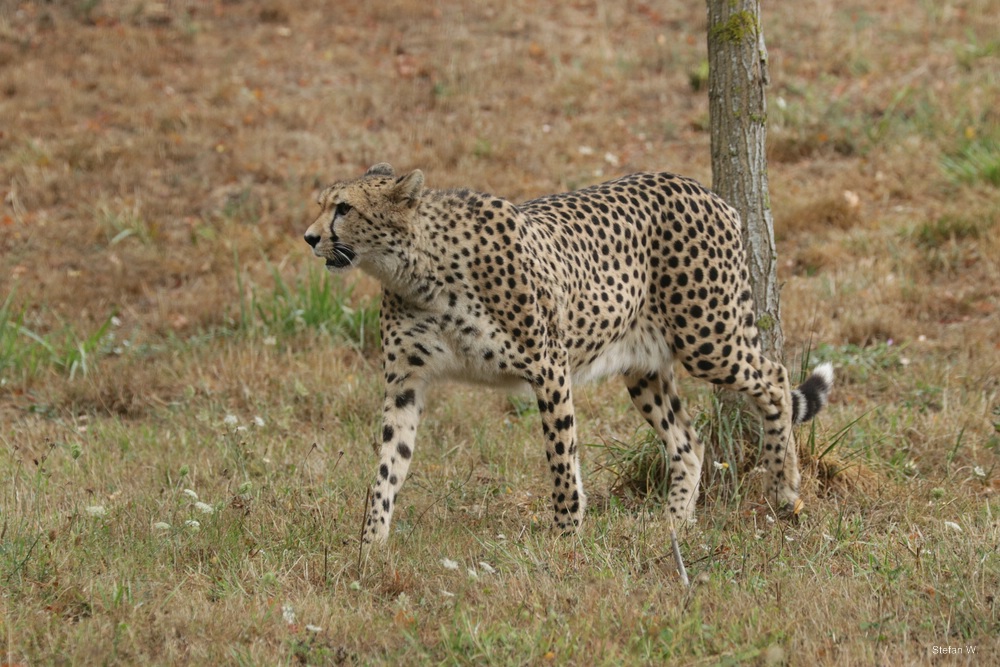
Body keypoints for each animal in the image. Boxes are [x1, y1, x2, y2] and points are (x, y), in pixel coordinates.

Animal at [304, 163, 834, 548]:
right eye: (322, 205)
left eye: (343, 208)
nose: (309, 237)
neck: (418, 273)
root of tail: (704, 189)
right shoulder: (405, 385)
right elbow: (388, 466)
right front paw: (370, 545)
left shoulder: (548, 367)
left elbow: (561, 457)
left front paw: (566, 537)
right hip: (643, 366)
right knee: (688, 440)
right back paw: (673, 524)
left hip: (709, 338)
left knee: (774, 377)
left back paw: (785, 489)